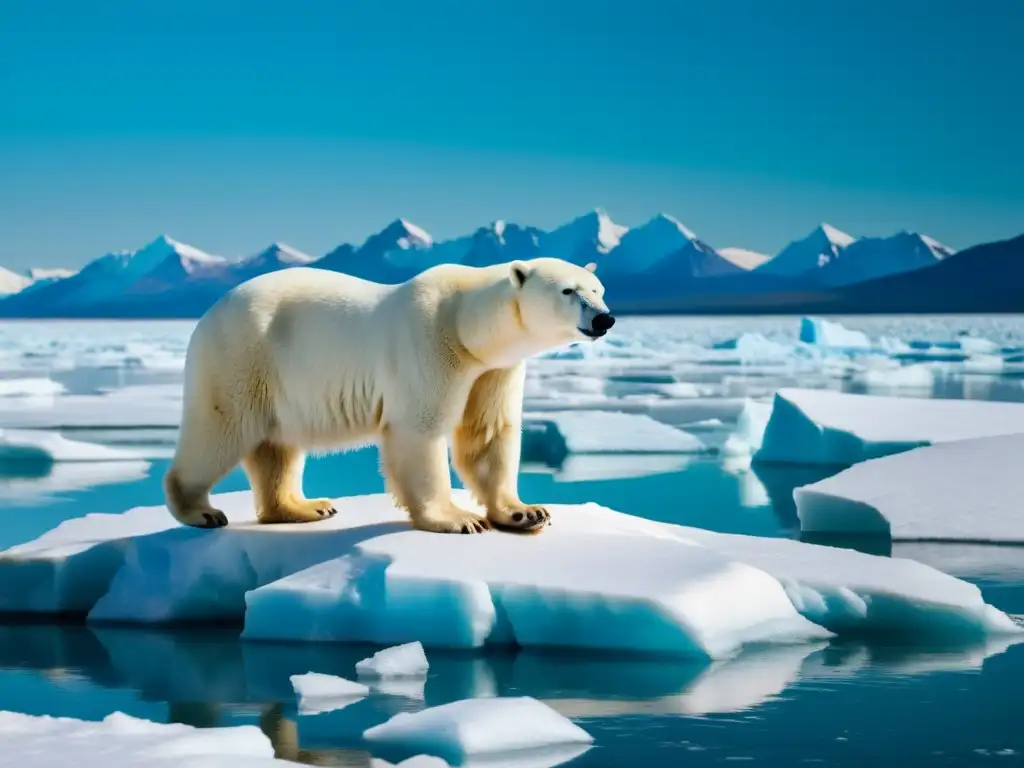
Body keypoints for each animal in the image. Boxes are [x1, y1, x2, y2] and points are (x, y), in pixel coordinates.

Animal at [165, 259, 614, 536]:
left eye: (598, 289)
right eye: (568, 291)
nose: (604, 318)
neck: (467, 325)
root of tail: (208, 314)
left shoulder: (493, 369)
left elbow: (487, 433)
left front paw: (527, 511)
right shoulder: (430, 345)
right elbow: (420, 429)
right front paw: (459, 519)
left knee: (277, 446)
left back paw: (307, 507)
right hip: (242, 355)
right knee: (220, 430)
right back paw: (201, 510)